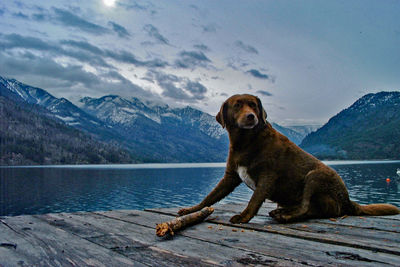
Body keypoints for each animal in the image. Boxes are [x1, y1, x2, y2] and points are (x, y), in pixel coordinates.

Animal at [179, 94, 400, 224]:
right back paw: (282, 212)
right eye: (237, 105)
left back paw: (285, 215)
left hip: (316, 175)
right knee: (314, 210)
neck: (247, 142)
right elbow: (210, 197)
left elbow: (255, 199)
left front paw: (244, 216)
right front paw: (192, 210)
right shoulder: (230, 177)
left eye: (253, 105)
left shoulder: (268, 175)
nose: (251, 116)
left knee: (307, 207)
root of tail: (347, 201)